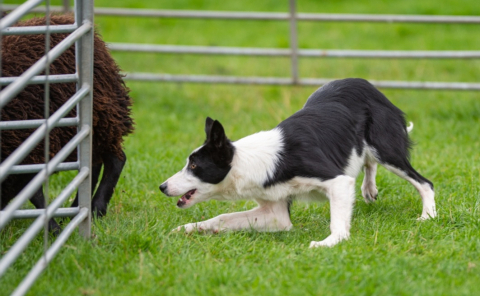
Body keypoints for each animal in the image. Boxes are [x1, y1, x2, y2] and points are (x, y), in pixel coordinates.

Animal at [0, 13, 135, 231]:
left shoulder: (27, 146)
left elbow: (35, 194)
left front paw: (53, 228)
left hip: (103, 116)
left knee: (115, 160)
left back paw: (95, 209)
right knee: (92, 165)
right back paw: (77, 210)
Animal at [159, 77, 436, 246]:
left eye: (194, 166)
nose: (162, 187)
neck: (248, 162)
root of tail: (368, 85)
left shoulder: (337, 181)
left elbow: (337, 222)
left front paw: (329, 243)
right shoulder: (275, 212)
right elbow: (223, 218)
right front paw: (190, 229)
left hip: (386, 150)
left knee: (425, 183)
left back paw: (428, 216)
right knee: (368, 161)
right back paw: (369, 187)